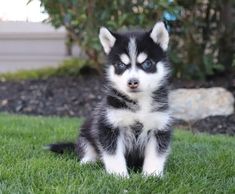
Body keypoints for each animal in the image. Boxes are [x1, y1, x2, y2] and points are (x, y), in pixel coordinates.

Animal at [48, 21, 173, 177]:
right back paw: (87, 161)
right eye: (120, 65)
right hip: (86, 132)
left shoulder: (159, 128)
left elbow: (156, 155)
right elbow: (113, 155)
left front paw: (152, 175)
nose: (132, 82)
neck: (138, 104)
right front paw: (119, 176)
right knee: (86, 148)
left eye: (148, 63)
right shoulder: (108, 126)